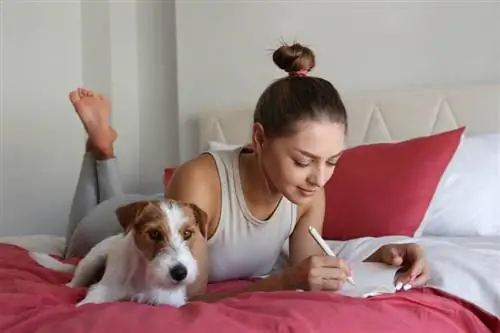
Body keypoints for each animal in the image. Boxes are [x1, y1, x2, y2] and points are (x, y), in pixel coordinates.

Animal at [29, 198, 207, 308]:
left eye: (187, 234)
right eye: (155, 233)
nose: (180, 273)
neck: (144, 275)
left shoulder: (170, 301)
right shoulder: (102, 291)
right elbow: (86, 303)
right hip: (91, 261)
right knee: (74, 283)